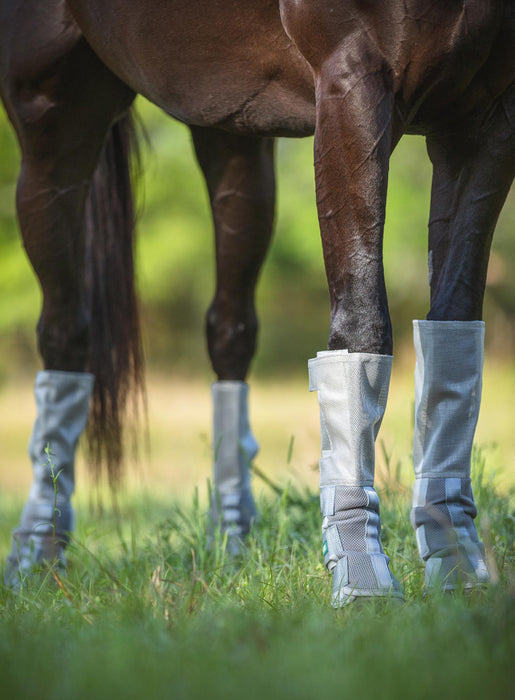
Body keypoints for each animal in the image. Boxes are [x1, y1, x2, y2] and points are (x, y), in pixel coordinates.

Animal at [1, 0, 513, 604]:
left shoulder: (485, 122)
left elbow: (454, 329)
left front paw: (461, 574)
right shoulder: (352, 84)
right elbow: (364, 322)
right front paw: (366, 583)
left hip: (232, 137)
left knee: (229, 329)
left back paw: (231, 543)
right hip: (53, 122)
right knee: (64, 333)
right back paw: (38, 555)